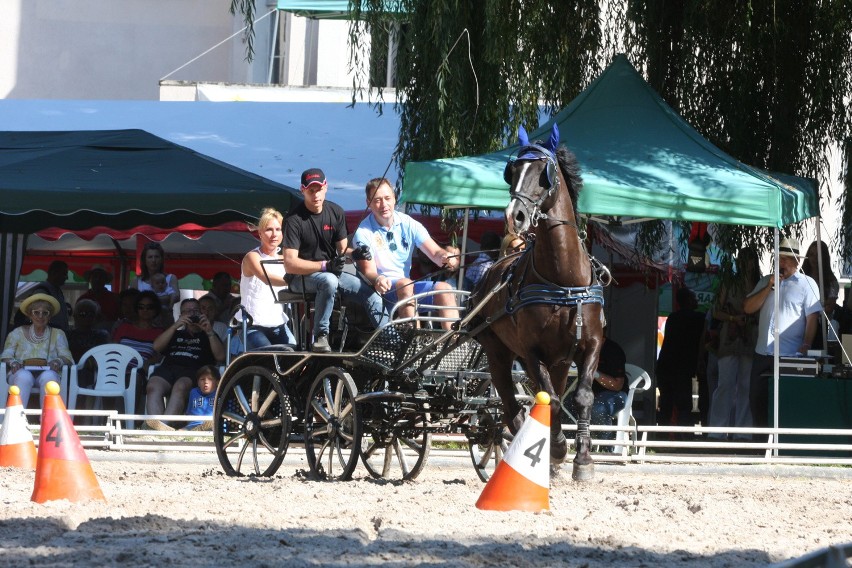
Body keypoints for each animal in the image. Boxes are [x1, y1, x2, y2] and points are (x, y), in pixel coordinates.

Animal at [466, 123, 604, 480]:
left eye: (545, 172)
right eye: (512, 171)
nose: (514, 216)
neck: (564, 280)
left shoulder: (591, 344)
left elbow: (582, 396)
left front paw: (583, 459)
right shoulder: (531, 352)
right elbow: (551, 401)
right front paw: (557, 448)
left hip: (560, 361)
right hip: (497, 352)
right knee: (511, 407)